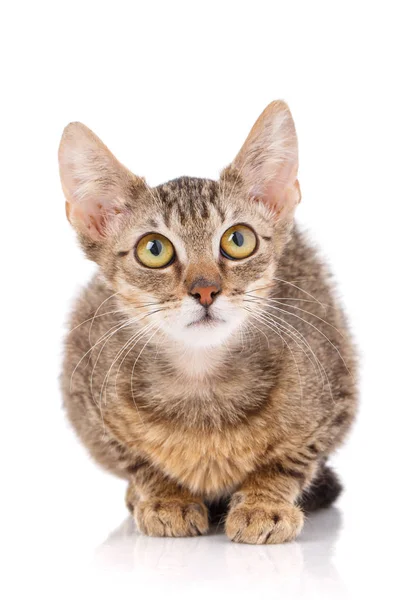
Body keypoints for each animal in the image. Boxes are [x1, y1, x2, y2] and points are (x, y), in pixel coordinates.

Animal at [58, 99, 356, 544]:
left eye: (238, 240)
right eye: (154, 249)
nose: (205, 290)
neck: (202, 381)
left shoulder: (336, 392)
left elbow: (291, 459)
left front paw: (263, 503)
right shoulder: (86, 395)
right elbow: (135, 460)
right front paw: (166, 498)